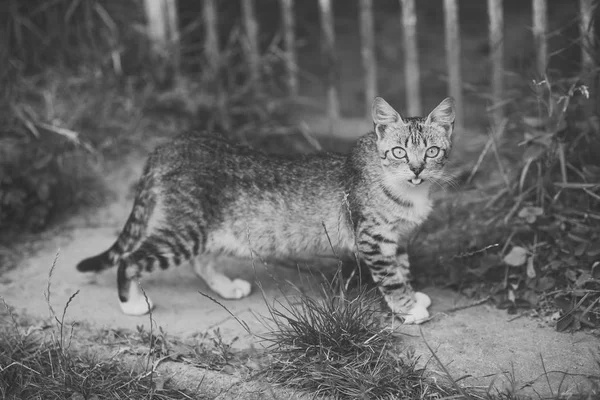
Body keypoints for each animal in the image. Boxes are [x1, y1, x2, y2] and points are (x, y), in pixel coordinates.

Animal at [76, 97, 454, 324]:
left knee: (201, 261)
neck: (405, 189)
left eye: (432, 151)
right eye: (399, 152)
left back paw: (226, 287)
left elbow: (402, 267)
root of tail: (171, 144)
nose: (417, 169)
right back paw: (132, 303)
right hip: (185, 230)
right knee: (130, 259)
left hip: (210, 230)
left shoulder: (398, 237)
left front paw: (412, 295)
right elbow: (390, 276)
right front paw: (407, 307)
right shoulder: (372, 238)